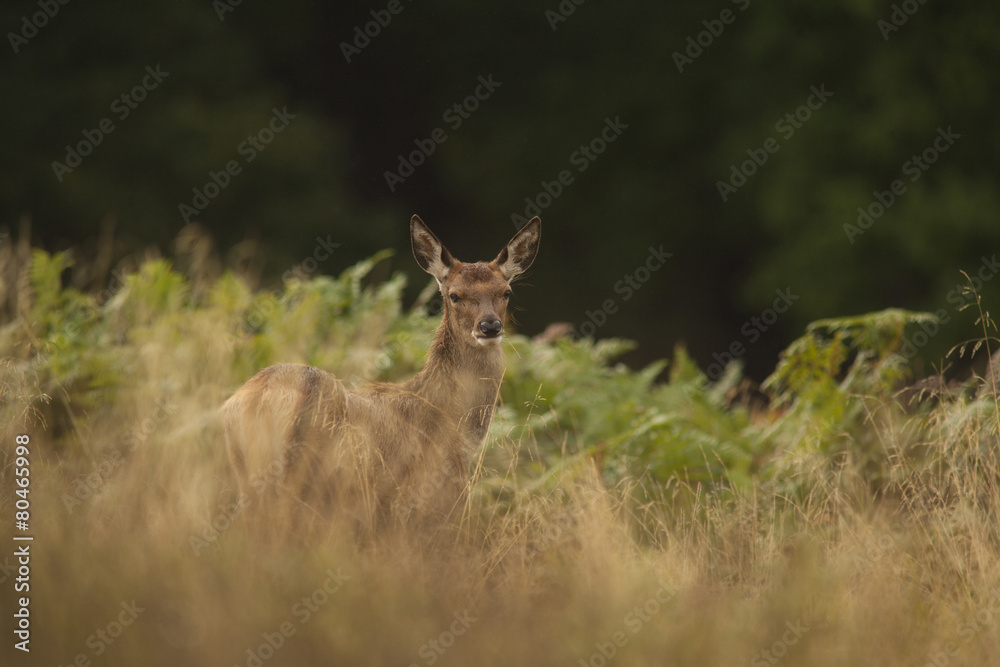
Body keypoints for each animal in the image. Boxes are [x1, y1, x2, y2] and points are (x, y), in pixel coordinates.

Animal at [223, 217, 544, 540]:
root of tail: (256, 399)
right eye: (455, 295)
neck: (457, 427)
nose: (490, 326)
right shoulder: (429, 504)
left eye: (506, 292)